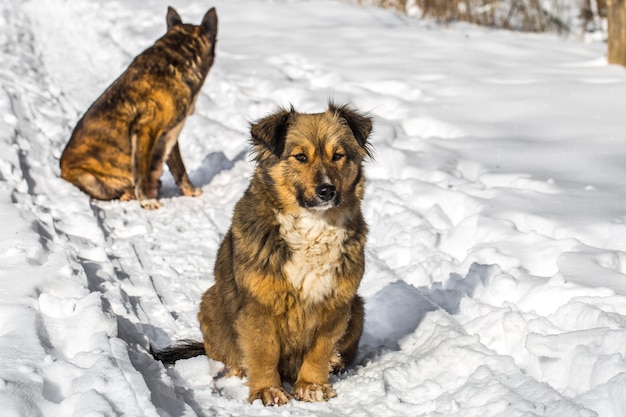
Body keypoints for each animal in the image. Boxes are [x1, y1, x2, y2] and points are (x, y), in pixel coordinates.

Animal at [59, 6, 218, 208]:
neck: (176, 56)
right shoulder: (144, 130)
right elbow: (140, 171)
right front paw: (147, 201)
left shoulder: (170, 136)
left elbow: (179, 168)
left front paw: (190, 191)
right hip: (90, 179)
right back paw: (130, 194)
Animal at [153, 102, 372, 404]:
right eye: (300, 157)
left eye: (338, 156)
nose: (326, 190)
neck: (311, 227)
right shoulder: (259, 304)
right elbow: (263, 351)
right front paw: (267, 390)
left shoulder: (336, 304)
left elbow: (319, 351)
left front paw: (312, 386)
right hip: (211, 302)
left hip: (358, 307)